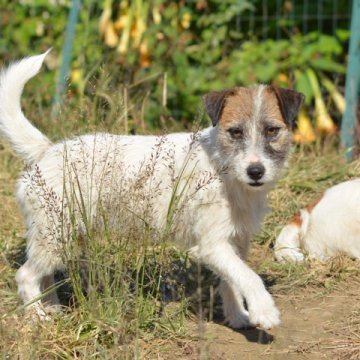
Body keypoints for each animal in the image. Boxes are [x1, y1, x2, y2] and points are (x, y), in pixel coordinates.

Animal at [0, 50, 304, 330]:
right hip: (55, 235)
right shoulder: (212, 245)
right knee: (26, 275)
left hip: (61, 237)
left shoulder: (234, 242)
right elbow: (248, 276)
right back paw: (38, 317)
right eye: (235, 132)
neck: (222, 166)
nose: (256, 171)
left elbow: (232, 280)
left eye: (272, 131)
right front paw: (264, 311)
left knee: (44, 274)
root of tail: (47, 151)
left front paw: (237, 316)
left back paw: (51, 308)